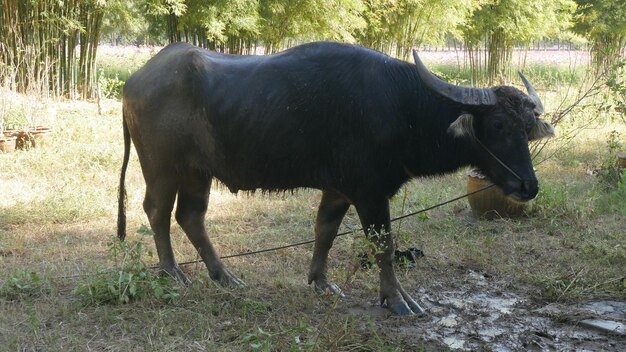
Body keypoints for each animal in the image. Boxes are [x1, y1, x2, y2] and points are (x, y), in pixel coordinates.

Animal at [117, 42, 552, 316]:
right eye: (497, 125)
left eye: (528, 125)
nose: (528, 186)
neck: (401, 106)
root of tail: (133, 81)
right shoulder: (370, 192)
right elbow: (383, 246)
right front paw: (397, 300)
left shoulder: (339, 190)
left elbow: (324, 232)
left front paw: (320, 281)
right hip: (161, 168)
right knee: (156, 211)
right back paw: (172, 273)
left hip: (198, 172)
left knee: (191, 216)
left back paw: (225, 276)